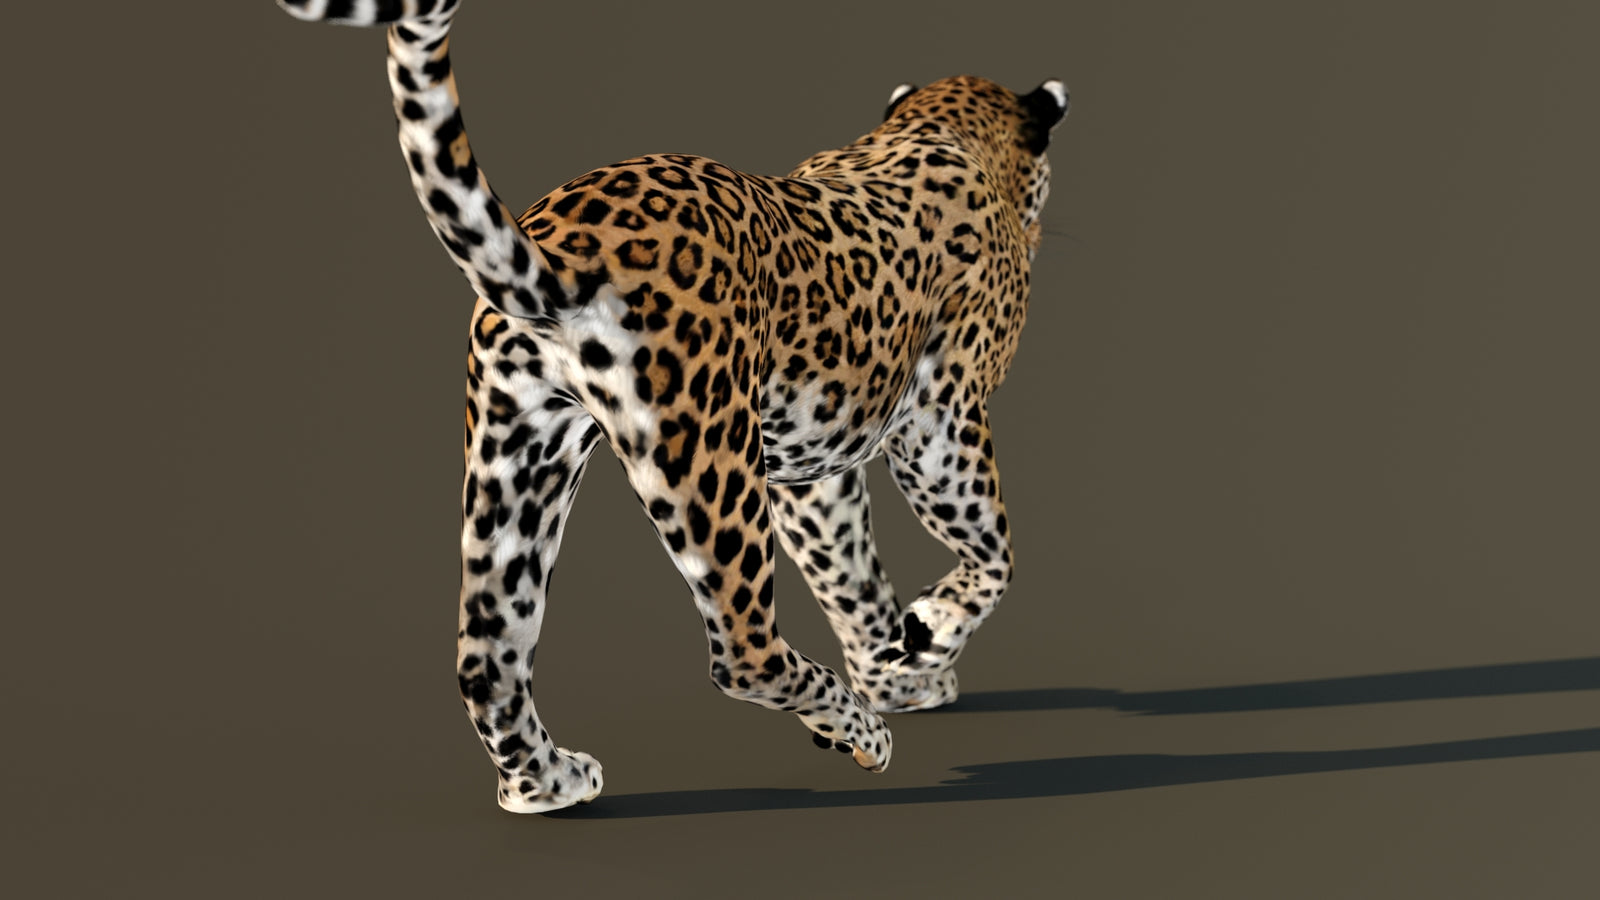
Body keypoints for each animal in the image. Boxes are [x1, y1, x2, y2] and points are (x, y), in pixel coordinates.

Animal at [275, 0, 1067, 814]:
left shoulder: (815, 467)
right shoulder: (940, 419)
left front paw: (898, 669)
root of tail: (561, 243)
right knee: (743, 649)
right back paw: (861, 737)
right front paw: (924, 639)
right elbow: (994, 553)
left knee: (486, 657)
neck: (943, 130)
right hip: (711, 461)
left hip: (519, 461)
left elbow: (848, 567)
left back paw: (550, 784)